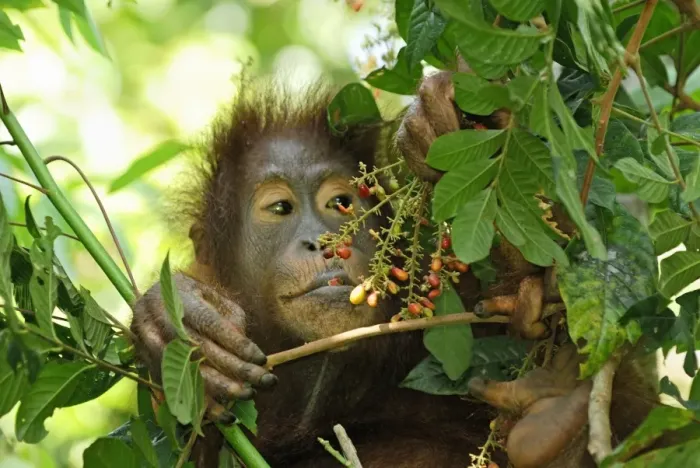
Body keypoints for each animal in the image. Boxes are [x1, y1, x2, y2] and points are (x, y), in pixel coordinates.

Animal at [130, 75, 661, 467]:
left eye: (340, 204)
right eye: (279, 208)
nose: (322, 243)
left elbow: (649, 427)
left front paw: (450, 126)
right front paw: (185, 323)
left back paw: (552, 414)